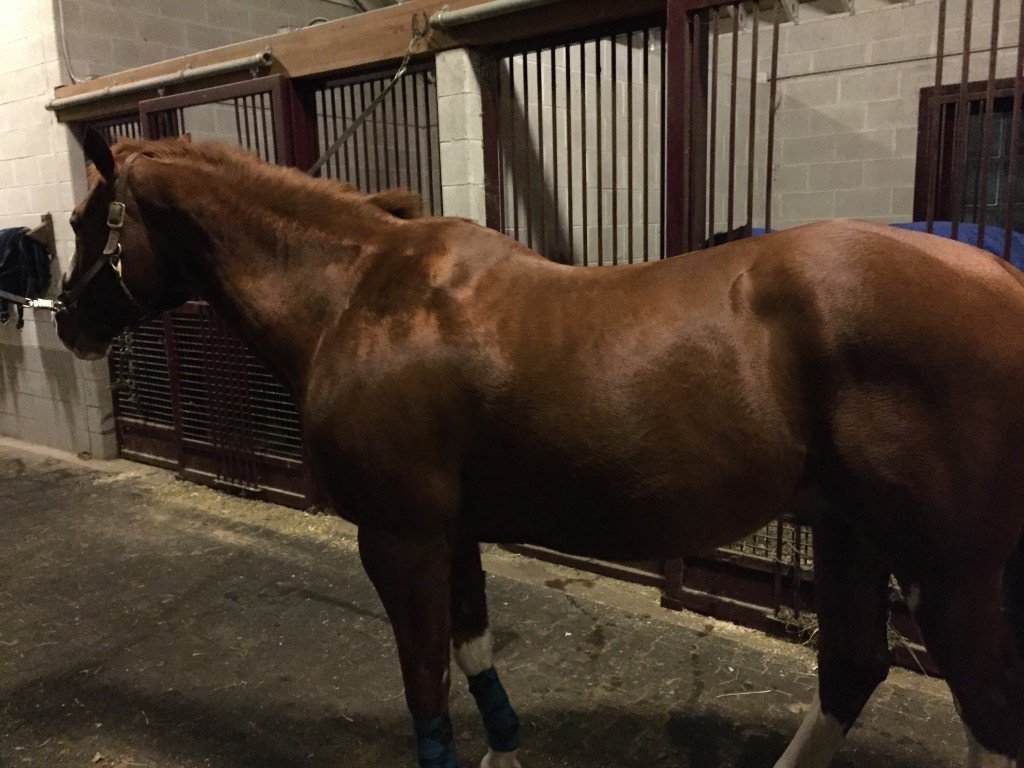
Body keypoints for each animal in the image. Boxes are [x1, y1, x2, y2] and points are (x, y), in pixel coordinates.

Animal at [58, 132, 1024, 768]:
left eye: (81, 222)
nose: (66, 323)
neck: (361, 297)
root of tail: (1001, 276)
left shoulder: (399, 538)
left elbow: (427, 686)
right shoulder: (450, 532)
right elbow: (473, 654)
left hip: (947, 571)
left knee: (986, 714)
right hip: (850, 534)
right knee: (854, 672)